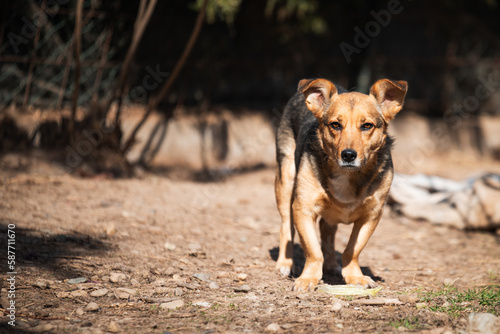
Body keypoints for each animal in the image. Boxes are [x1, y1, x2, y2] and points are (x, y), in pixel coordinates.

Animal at [276, 78, 408, 292]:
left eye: (367, 126)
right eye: (335, 125)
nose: (348, 155)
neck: (348, 175)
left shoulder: (372, 215)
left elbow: (352, 250)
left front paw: (355, 276)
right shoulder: (303, 208)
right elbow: (313, 250)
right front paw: (308, 278)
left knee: (327, 231)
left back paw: (331, 264)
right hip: (285, 181)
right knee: (286, 226)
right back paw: (285, 264)